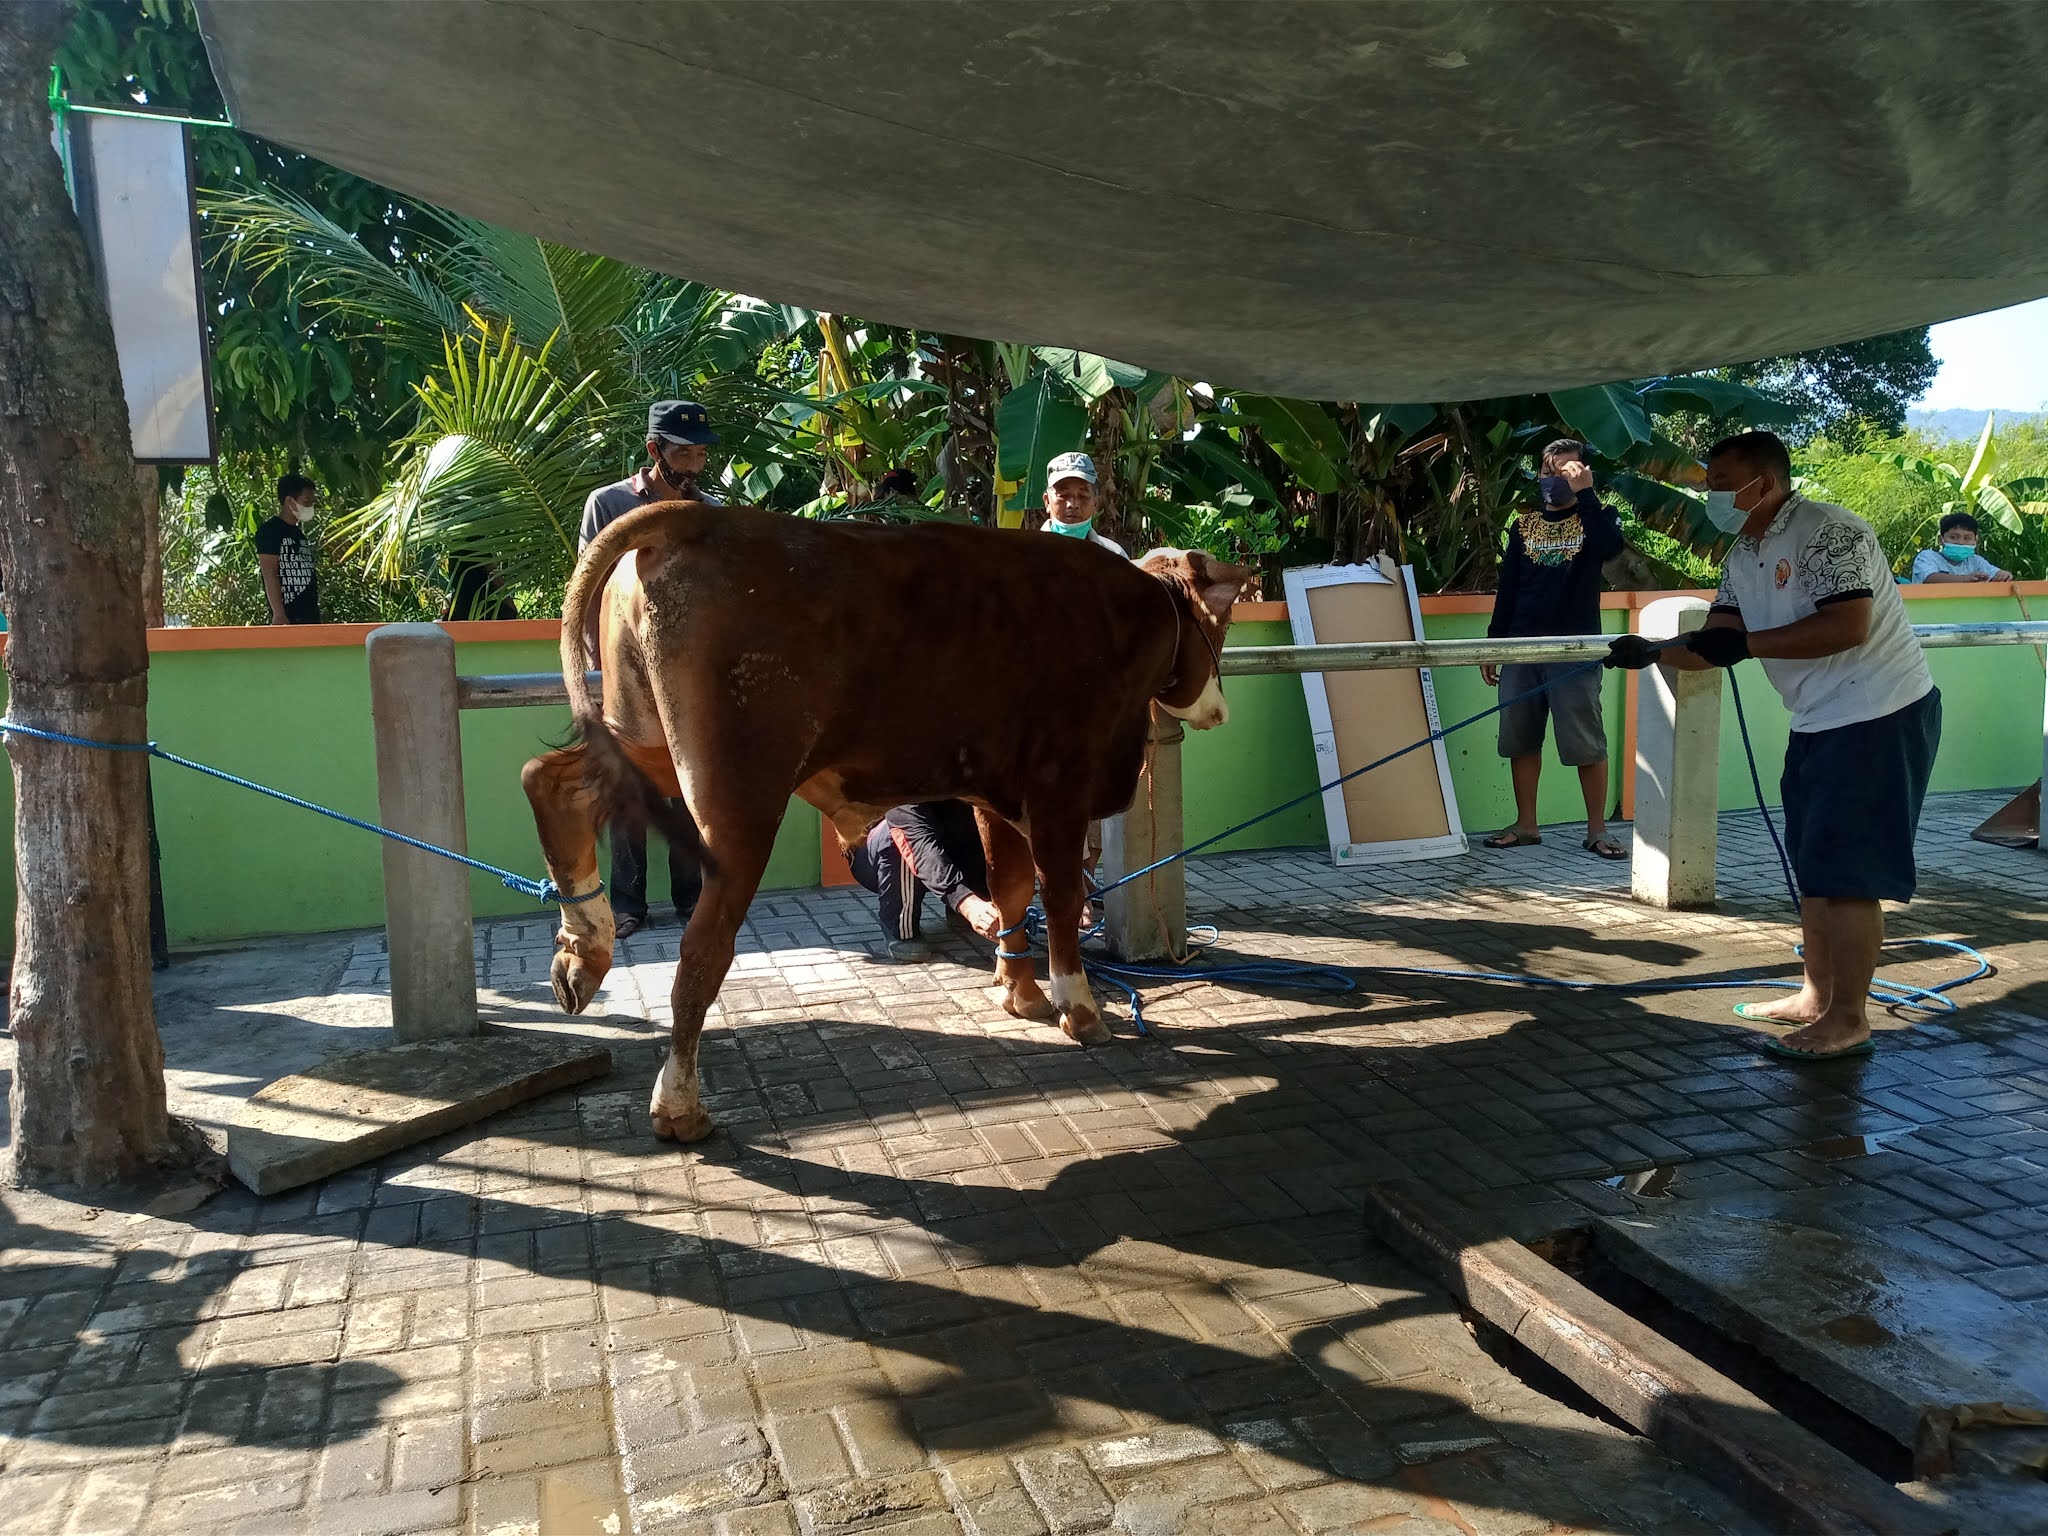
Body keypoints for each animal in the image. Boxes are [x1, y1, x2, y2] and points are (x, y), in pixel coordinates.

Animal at [521, 500, 1251, 1142]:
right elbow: (1063, 896)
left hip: (645, 739)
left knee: (550, 780)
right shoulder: (1059, 787)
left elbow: (1011, 889)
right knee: (701, 950)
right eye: (1221, 624)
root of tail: (703, 517)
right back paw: (677, 1105)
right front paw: (1078, 1007)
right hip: (739, 794)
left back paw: (580, 952)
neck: (1124, 618)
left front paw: (1020, 991)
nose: (1221, 708)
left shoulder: (998, 791)